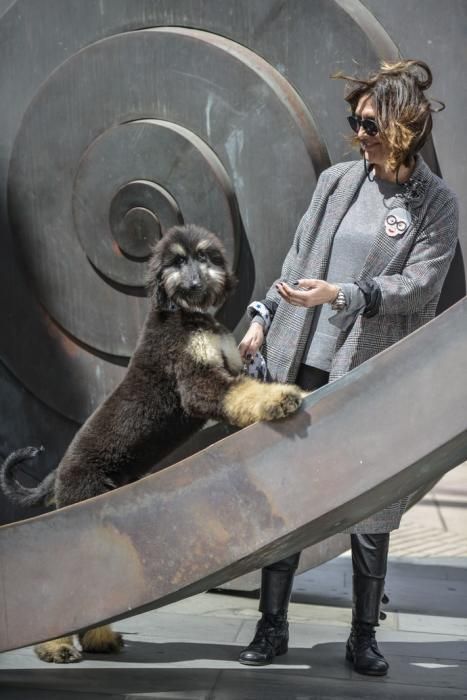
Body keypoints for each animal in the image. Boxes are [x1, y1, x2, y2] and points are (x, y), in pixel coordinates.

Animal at [0, 223, 308, 660]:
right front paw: (280, 398)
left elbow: (246, 387)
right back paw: (55, 647)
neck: (187, 316)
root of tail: (59, 473)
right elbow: (243, 393)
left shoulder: (229, 369)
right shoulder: (198, 383)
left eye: (204, 256)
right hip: (82, 518)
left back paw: (99, 639)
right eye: (176, 262)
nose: (195, 284)